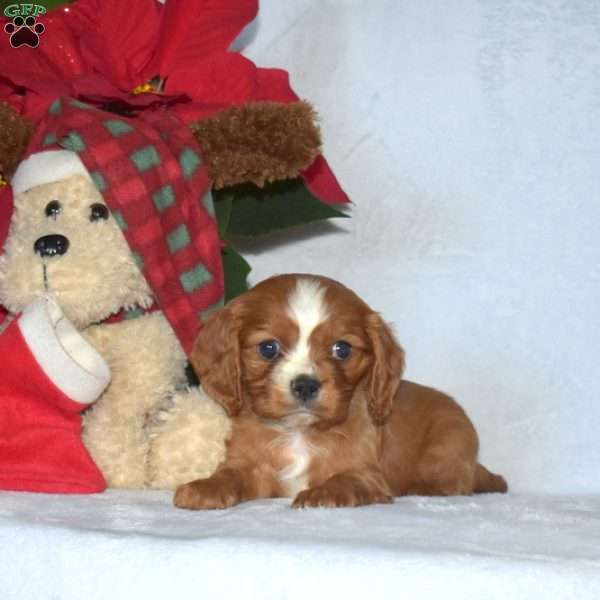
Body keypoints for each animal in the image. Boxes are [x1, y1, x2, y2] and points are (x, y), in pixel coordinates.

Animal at [173, 274, 506, 508]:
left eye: (342, 349)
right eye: (268, 348)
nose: (305, 384)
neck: (299, 432)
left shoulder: (366, 475)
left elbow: (344, 480)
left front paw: (320, 494)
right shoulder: (252, 467)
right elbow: (231, 474)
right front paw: (205, 487)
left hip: (449, 443)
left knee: (457, 483)